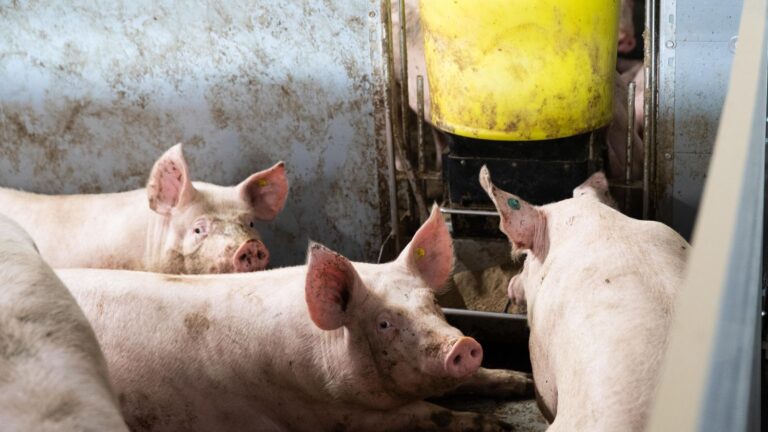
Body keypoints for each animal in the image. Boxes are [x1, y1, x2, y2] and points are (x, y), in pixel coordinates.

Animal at [56, 206, 533, 432]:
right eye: (383, 324)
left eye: (432, 303)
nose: (462, 346)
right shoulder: (326, 413)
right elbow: (429, 414)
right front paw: (499, 425)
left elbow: (476, 379)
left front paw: (521, 383)